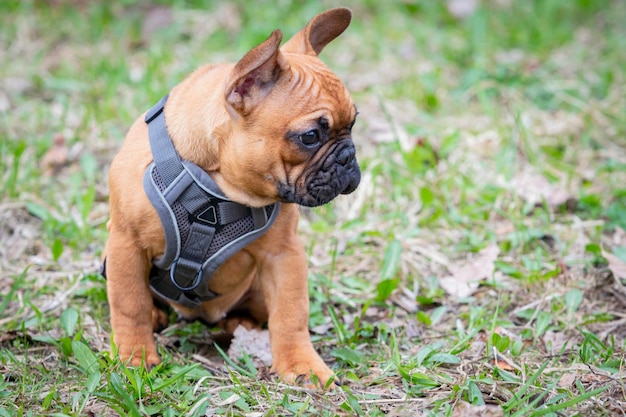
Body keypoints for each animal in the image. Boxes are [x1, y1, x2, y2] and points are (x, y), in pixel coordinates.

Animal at [100, 7, 358, 390]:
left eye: (353, 123)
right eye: (310, 136)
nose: (348, 158)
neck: (217, 186)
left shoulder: (284, 256)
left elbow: (291, 314)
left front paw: (302, 365)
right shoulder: (126, 244)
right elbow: (129, 304)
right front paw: (134, 357)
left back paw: (239, 325)